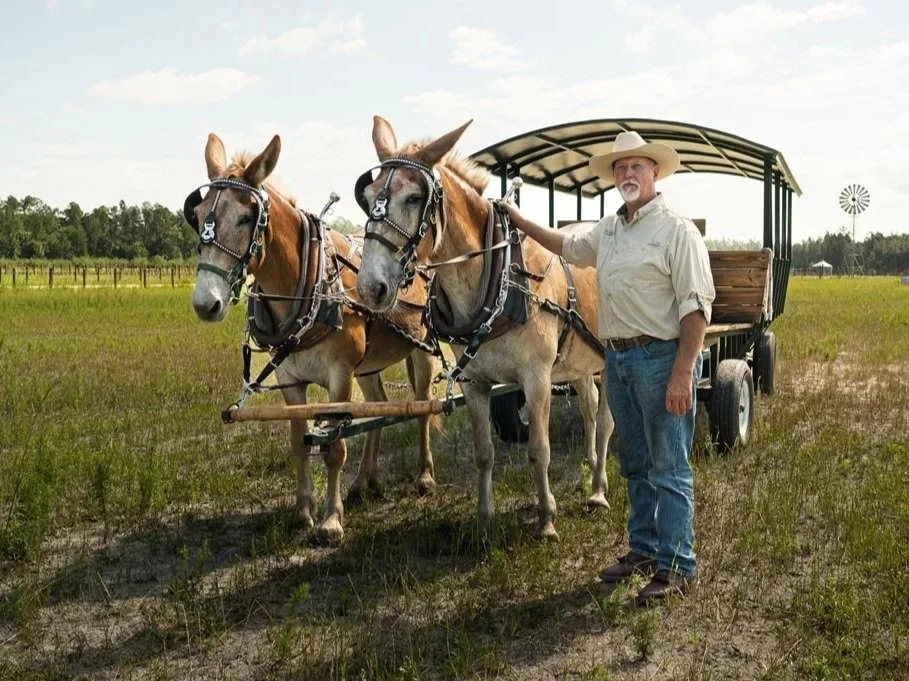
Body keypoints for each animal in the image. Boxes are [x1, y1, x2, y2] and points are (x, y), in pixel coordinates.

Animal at [185, 132, 438, 543]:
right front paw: (303, 513)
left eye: (245, 218)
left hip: (421, 351)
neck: (307, 287)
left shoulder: (339, 375)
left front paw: (330, 521)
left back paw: (425, 476)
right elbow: (299, 443)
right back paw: (364, 483)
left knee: (423, 406)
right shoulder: (290, 379)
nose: (206, 303)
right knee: (378, 405)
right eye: (199, 213)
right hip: (367, 366)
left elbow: (334, 447)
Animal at [354, 117, 613, 540]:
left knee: (605, 422)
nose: (369, 287)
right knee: (589, 409)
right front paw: (484, 518)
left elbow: (539, 450)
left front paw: (546, 519)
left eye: (414, 197)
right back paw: (590, 470)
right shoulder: (474, 382)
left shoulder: (537, 378)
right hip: (579, 361)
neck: (499, 283)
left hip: (610, 359)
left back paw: (599, 491)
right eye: (369, 194)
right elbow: (483, 453)